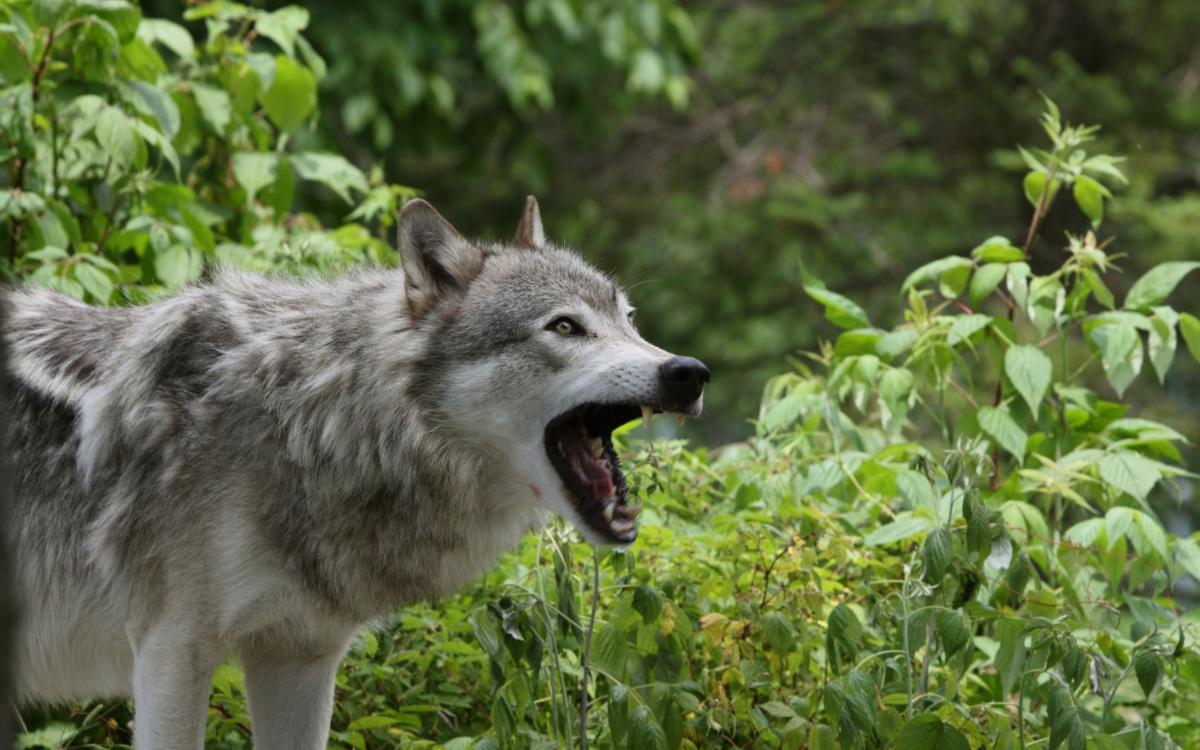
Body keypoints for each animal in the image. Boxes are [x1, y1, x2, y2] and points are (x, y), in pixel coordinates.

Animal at [0, 199, 705, 748]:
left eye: (629, 322)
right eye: (564, 327)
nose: (689, 371)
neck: (310, 419)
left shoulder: (300, 656)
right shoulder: (171, 652)